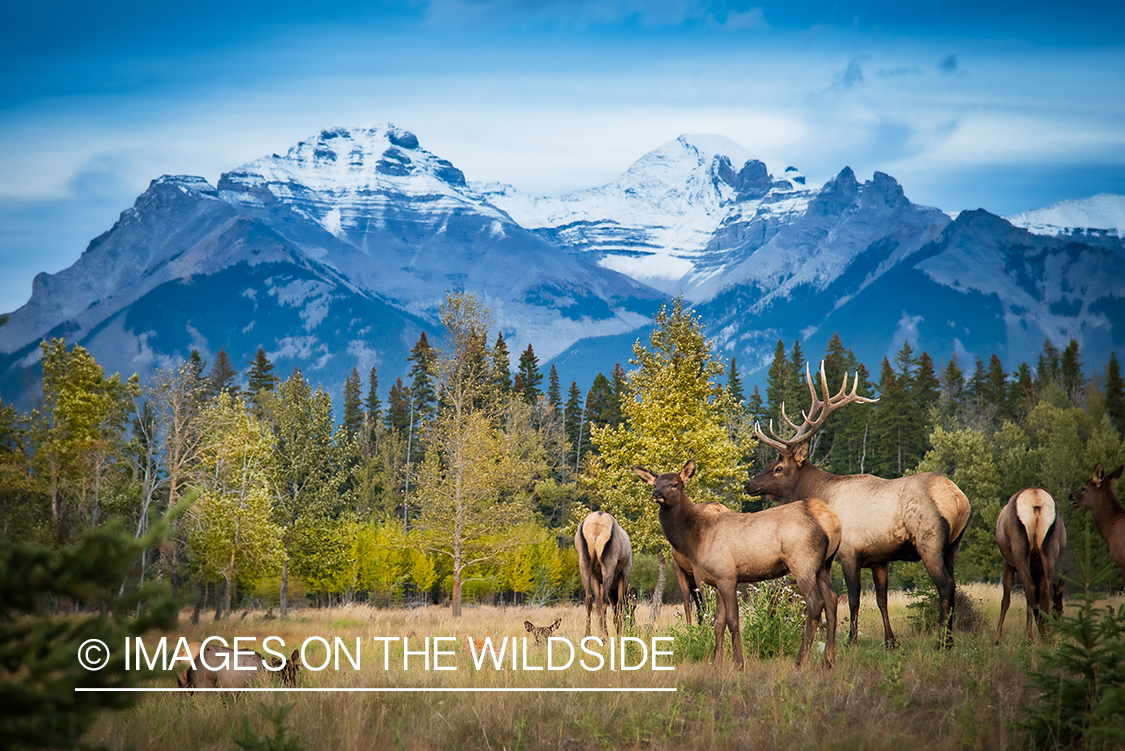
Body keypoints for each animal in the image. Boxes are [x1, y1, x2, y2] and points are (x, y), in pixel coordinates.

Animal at [576, 510, 639, 638]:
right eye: (633, 606)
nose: (633, 626)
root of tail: (596, 525)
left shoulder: (595, 576)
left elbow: (600, 604)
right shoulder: (624, 573)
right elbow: (619, 606)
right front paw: (620, 635)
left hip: (584, 561)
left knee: (589, 599)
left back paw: (588, 636)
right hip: (609, 562)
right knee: (604, 598)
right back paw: (604, 636)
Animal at [634, 458, 837, 670]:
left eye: (675, 484)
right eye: (655, 484)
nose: (657, 494)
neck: (696, 538)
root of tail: (830, 519)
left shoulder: (726, 575)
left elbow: (732, 620)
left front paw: (738, 663)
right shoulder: (715, 580)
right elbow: (718, 622)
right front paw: (716, 663)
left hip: (803, 562)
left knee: (815, 602)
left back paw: (800, 661)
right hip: (824, 564)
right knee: (832, 599)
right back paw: (828, 660)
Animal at [742, 362, 972, 647]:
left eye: (778, 468)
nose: (748, 485)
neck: (824, 494)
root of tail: (958, 498)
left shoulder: (850, 552)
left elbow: (853, 599)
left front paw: (851, 640)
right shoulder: (879, 558)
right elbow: (882, 599)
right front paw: (890, 641)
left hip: (929, 541)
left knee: (945, 585)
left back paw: (943, 641)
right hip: (954, 544)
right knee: (954, 583)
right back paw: (947, 638)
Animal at [999, 490, 1066, 643]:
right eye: (1059, 608)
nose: (1059, 628)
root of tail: (1036, 499)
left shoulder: (1008, 564)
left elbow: (1005, 600)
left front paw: (996, 639)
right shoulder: (1039, 569)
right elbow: (1040, 601)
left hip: (1020, 553)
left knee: (1030, 589)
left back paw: (1028, 639)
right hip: (1050, 552)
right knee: (1046, 593)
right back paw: (1045, 639)